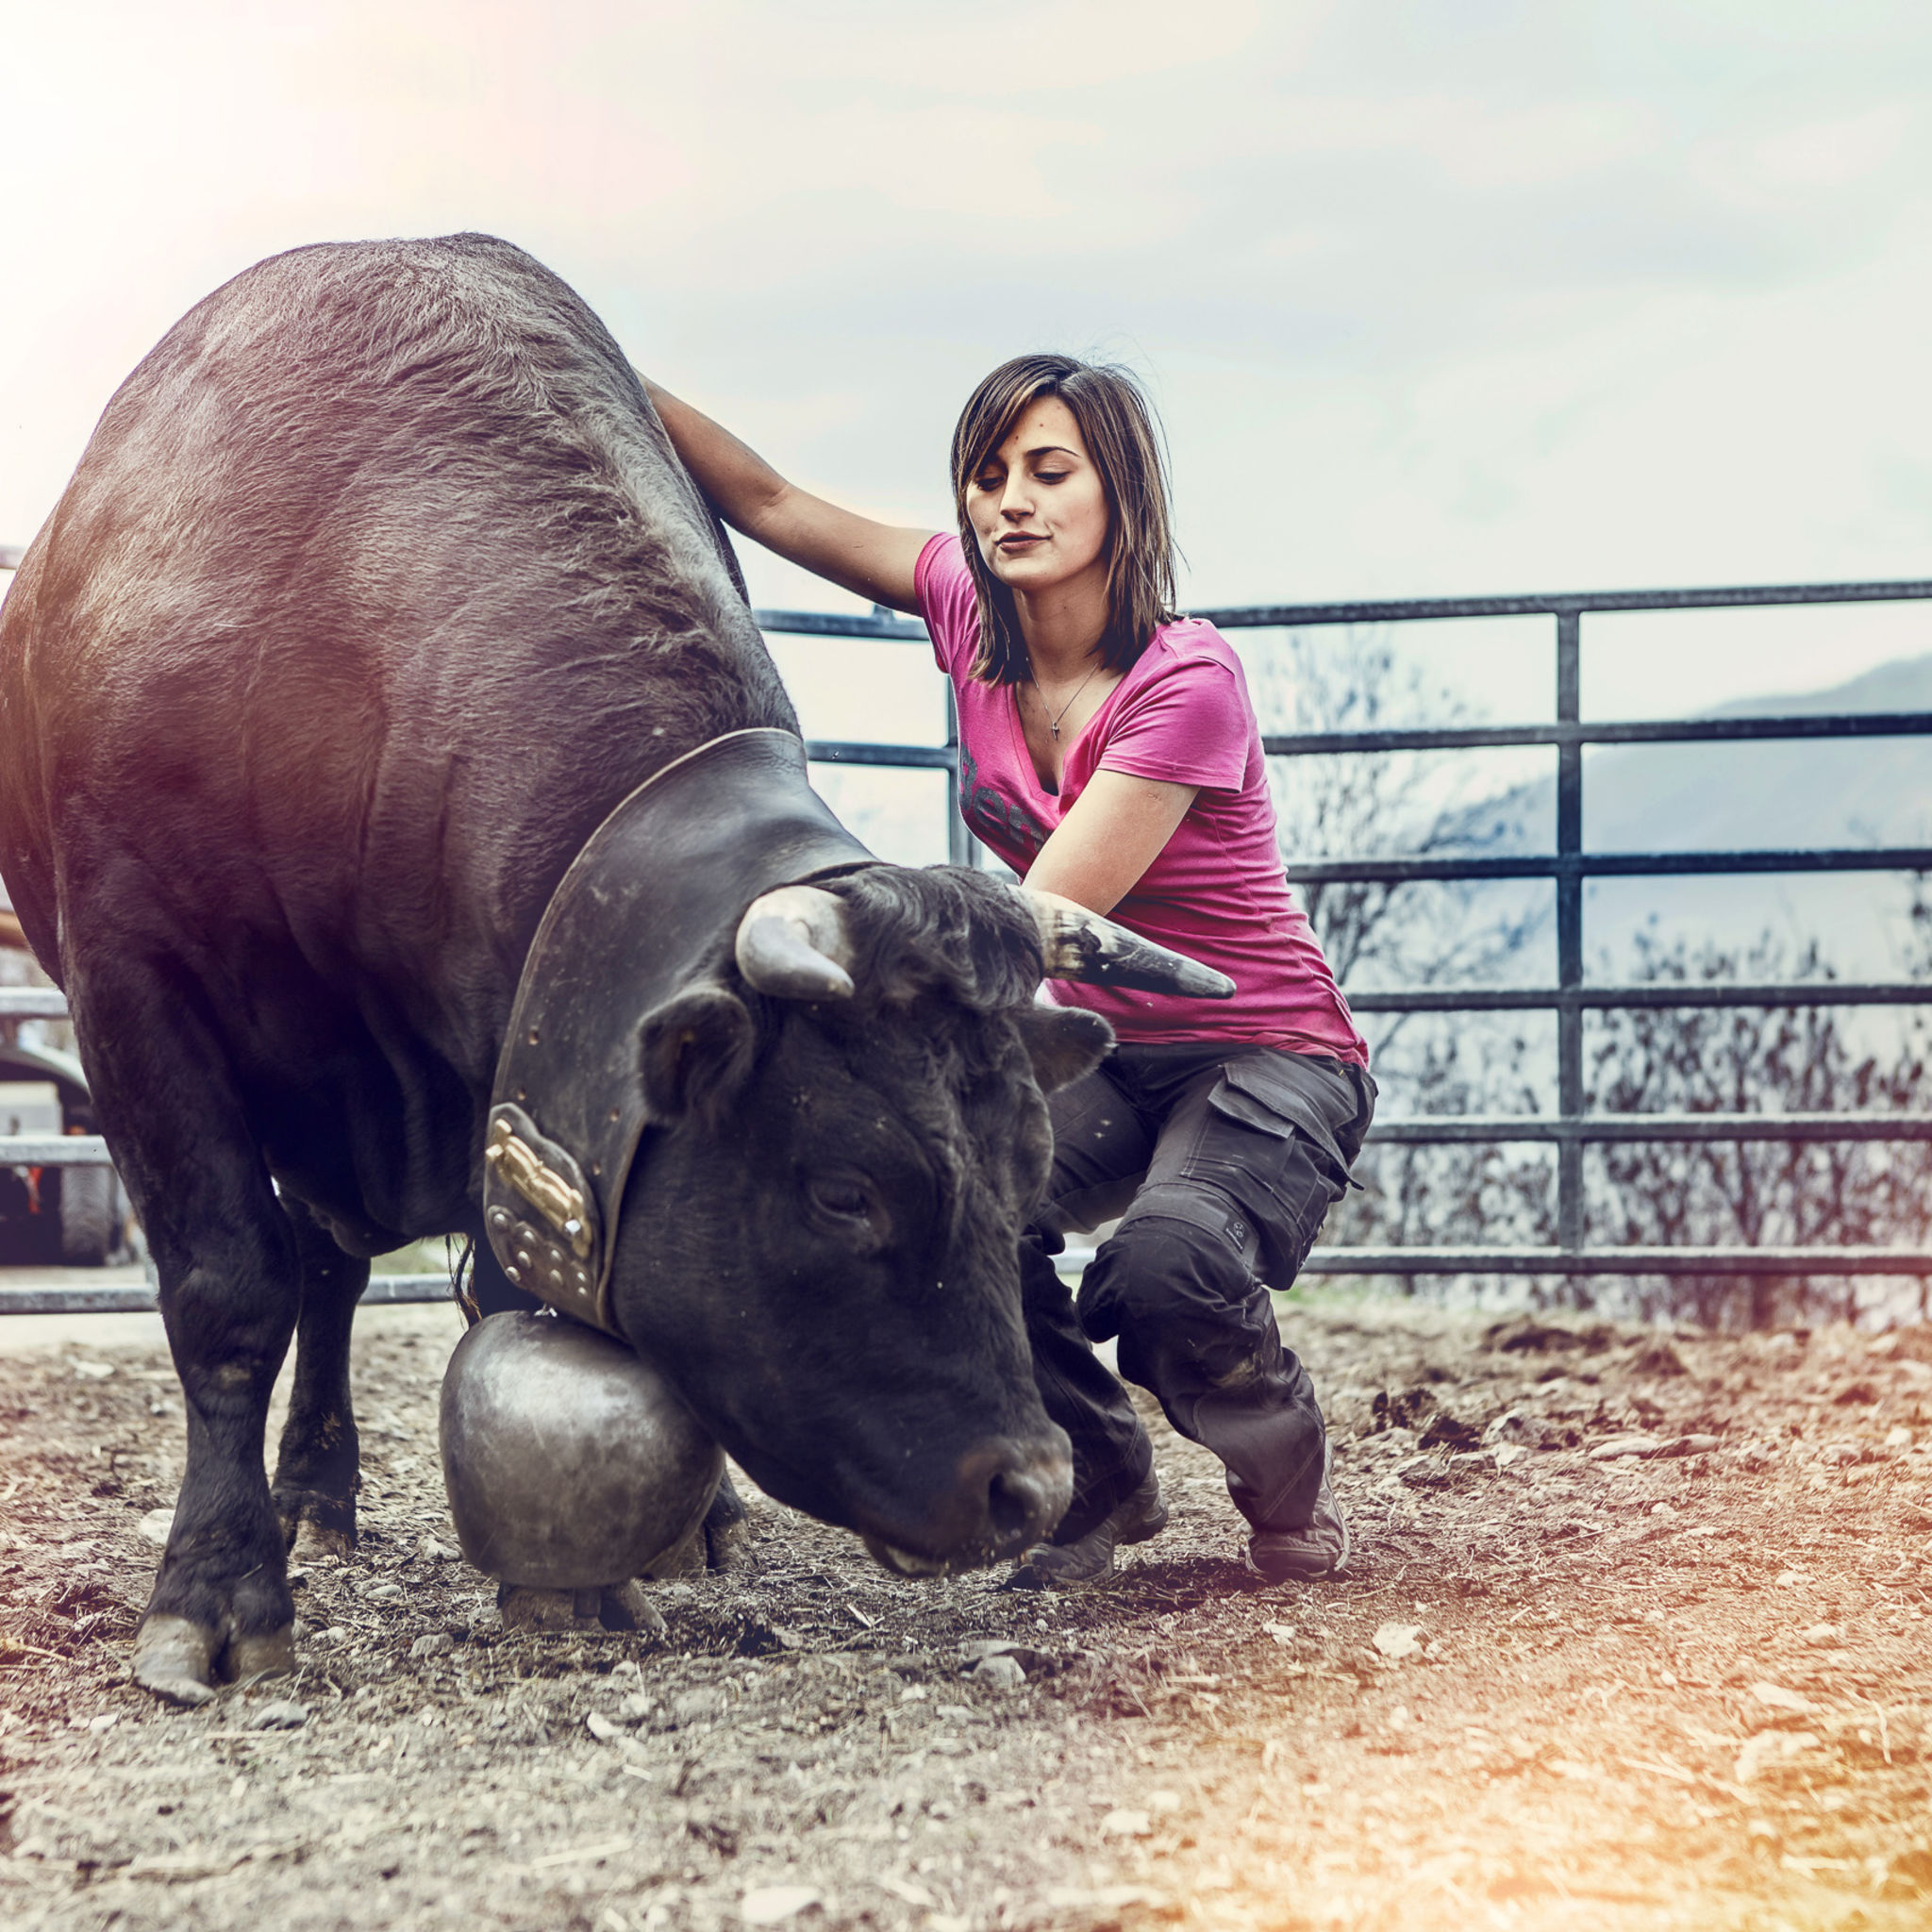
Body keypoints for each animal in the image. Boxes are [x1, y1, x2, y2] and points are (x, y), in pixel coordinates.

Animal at [0, 234, 1226, 1705]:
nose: (1030, 1484)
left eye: (1027, 1174)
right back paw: (308, 1498)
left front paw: (584, 1577)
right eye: (842, 1190)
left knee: (338, 1265)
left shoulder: (526, 1046)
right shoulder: (134, 989)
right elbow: (227, 1288)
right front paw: (216, 1592)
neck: (330, 626)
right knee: (311, 1265)